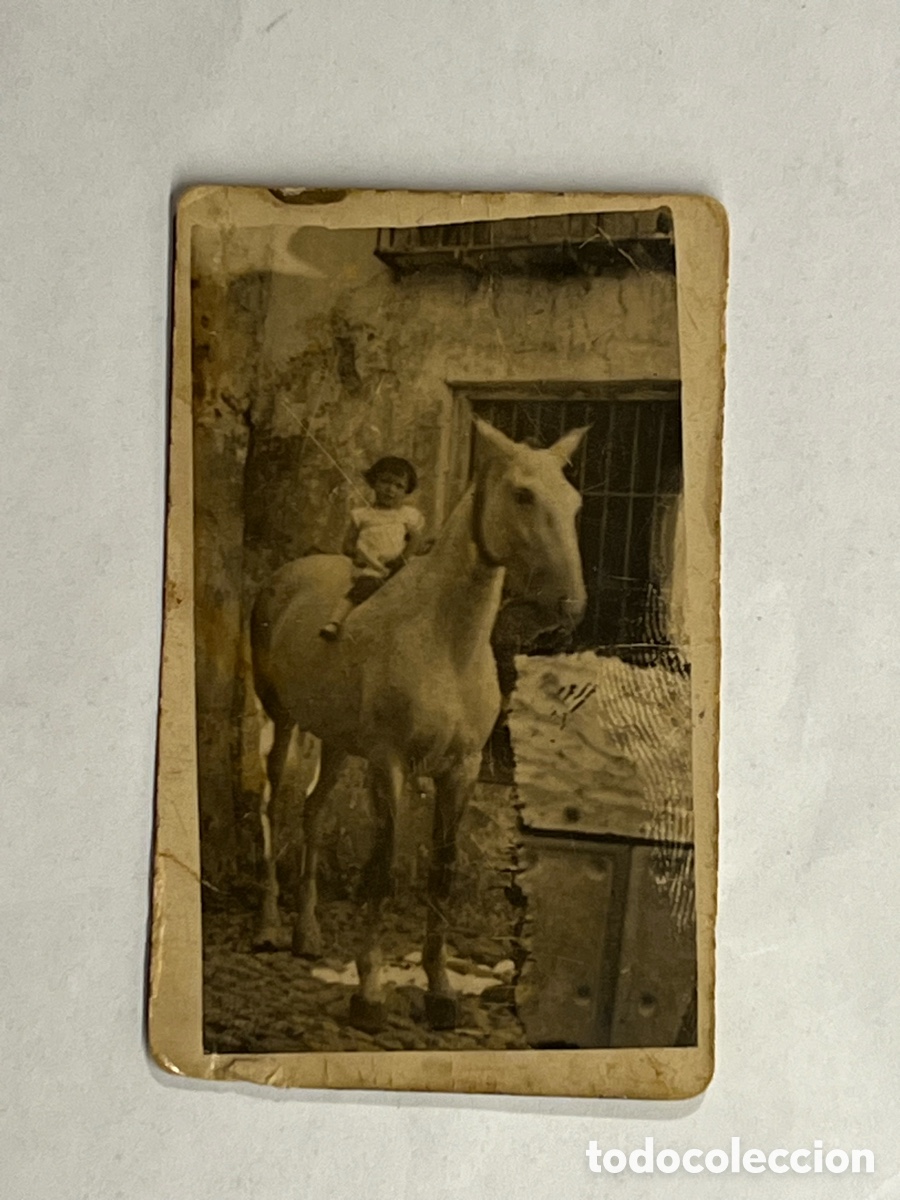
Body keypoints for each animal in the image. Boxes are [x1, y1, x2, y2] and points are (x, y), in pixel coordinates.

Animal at [249, 417, 588, 1031]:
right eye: (523, 495)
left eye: (574, 502)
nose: (569, 607)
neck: (446, 643)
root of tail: (284, 577)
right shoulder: (390, 766)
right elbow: (382, 869)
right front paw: (369, 992)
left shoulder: (461, 771)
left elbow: (443, 872)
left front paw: (440, 991)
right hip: (281, 723)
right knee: (275, 807)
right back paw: (268, 928)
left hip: (336, 743)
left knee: (313, 812)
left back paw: (307, 934)